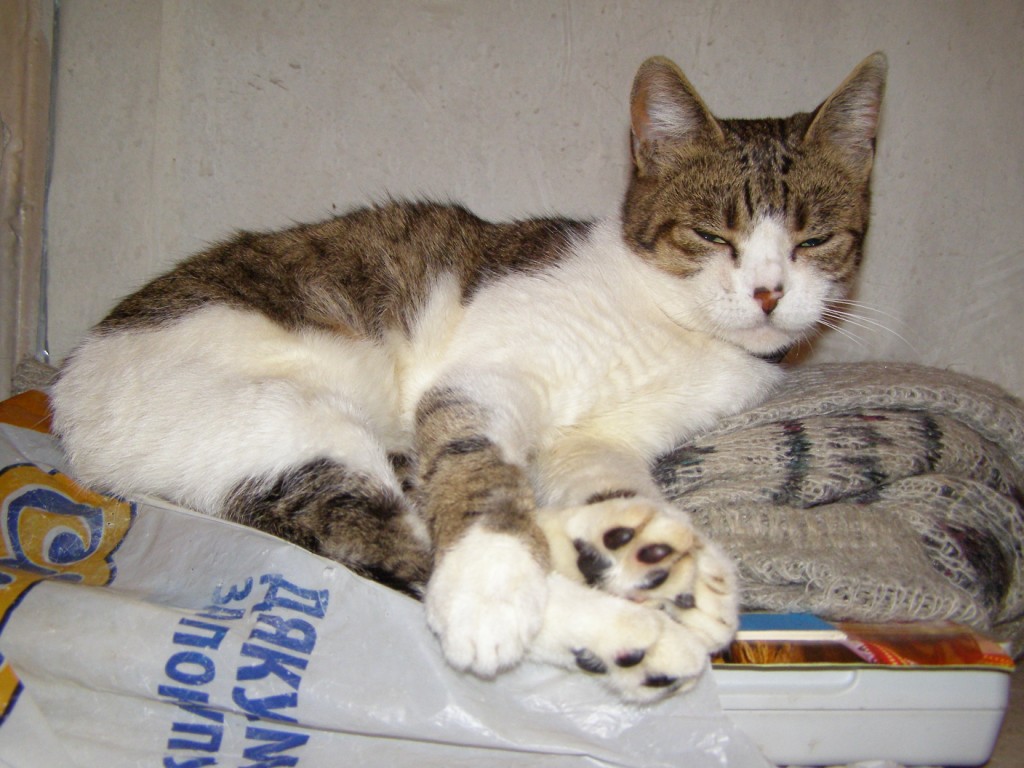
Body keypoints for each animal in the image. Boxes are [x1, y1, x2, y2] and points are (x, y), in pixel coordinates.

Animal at [51, 53, 886, 703]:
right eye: (714, 234)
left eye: (816, 239)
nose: (769, 293)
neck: (673, 323)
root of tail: (69, 410)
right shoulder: (480, 381)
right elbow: (477, 472)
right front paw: (491, 584)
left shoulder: (604, 439)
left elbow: (608, 483)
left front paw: (647, 546)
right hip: (295, 428)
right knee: (411, 556)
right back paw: (625, 635)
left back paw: (645, 568)